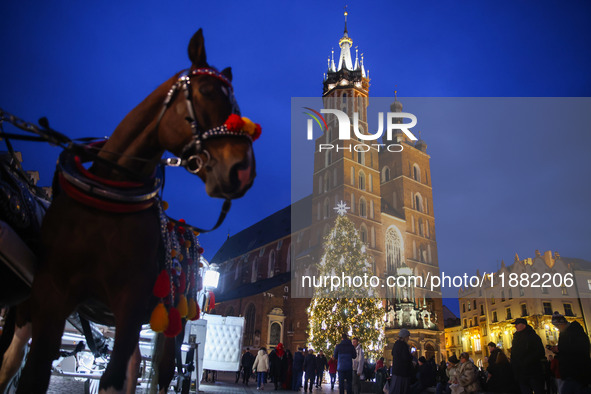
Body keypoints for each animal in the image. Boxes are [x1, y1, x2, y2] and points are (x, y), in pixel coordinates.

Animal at [11, 29, 256, 392]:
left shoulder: (130, 304)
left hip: (172, 319)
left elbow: (114, 378)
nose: (244, 170)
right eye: (208, 91)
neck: (107, 200)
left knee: (163, 370)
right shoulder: (51, 295)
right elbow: (35, 372)